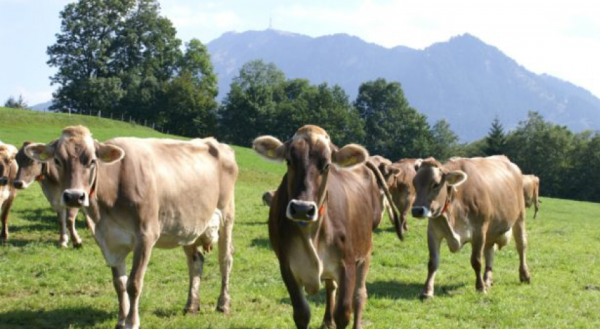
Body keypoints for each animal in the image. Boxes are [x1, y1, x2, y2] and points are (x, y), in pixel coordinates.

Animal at [25, 126, 238, 328]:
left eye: (92, 161)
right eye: (58, 160)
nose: (74, 196)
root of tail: (214, 141)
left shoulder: (146, 236)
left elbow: (134, 283)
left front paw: (131, 321)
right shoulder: (108, 240)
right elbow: (119, 284)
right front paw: (121, 319)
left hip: (226, 216)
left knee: (225, 260)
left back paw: (223, 304)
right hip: (189, 226)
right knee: (196, 262)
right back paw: (191, 305)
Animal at [251, 125, 400, 328]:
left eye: (327, 165)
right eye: (289, 161)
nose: (302, 209)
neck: (310, 233)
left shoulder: (347, 264)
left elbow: (343, 313)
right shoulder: (287, 267)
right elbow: (302, 314)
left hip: (365, 250)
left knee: (360, 295)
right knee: (330, 287)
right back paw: (327, 320)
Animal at [412, 154, 528, 298]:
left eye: (436, 184)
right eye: (414, 183)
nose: (416, 210)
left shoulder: (479, 231)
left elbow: (476, 261)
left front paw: (480, 288)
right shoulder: (433, 232)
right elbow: (433, 262)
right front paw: (427, 291)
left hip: (519, 216)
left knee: (521, 245)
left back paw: (524, 275)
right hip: (491, 229)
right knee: (489, 251)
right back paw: (487, 279)